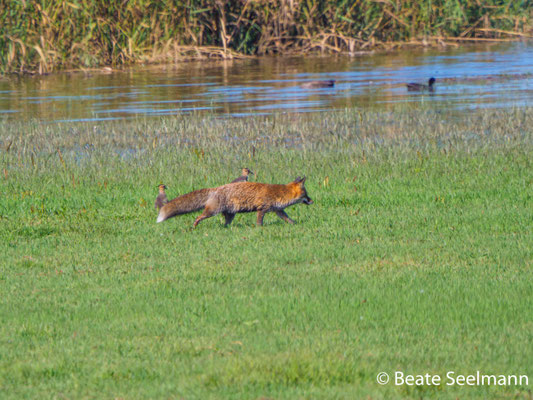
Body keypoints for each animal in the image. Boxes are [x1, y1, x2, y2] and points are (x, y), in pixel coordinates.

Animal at [156, 177, 312, 227]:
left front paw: (295, 224)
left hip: (230, 215)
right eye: (306, 194)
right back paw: (194, 226)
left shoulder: (277, 210)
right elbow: (259, 223)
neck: (280, 193)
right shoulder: (262, 209)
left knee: (225, 224)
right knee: (198, 217)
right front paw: (259, 229)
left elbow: (288, 219)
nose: (312, 200)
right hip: (212, 212)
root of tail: (216, 189)